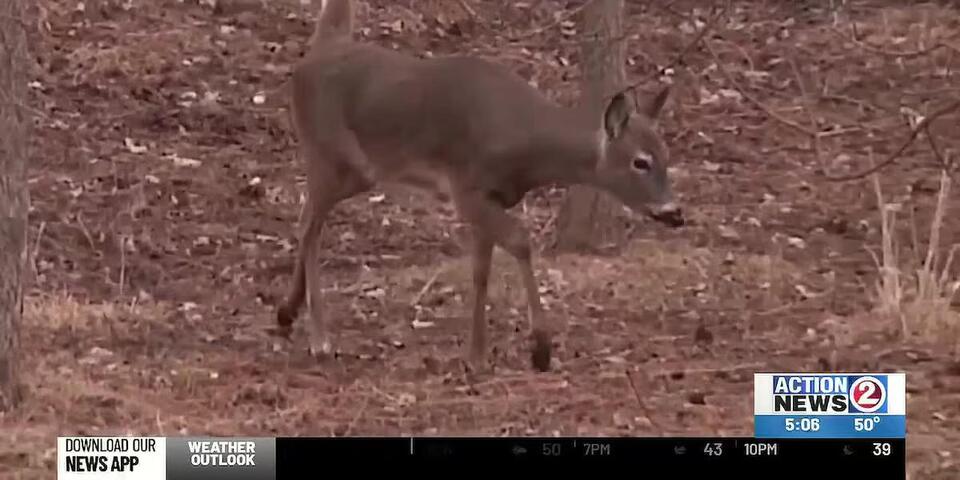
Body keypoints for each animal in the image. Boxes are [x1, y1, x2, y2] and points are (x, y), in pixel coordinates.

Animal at [276, 0, 685, 373]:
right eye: (640, 161)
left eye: (667, 155)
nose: (674, 212)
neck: (524, 142)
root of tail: (313, 56)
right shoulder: (467, 189)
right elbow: (520, 240)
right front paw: (540, 348)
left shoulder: (492, 197)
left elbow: (481, 271)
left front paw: (476, 354)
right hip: (331, 154)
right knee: (310, 228)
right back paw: (320, 339)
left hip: (351, 168)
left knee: (306, 217)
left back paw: (287, 312)